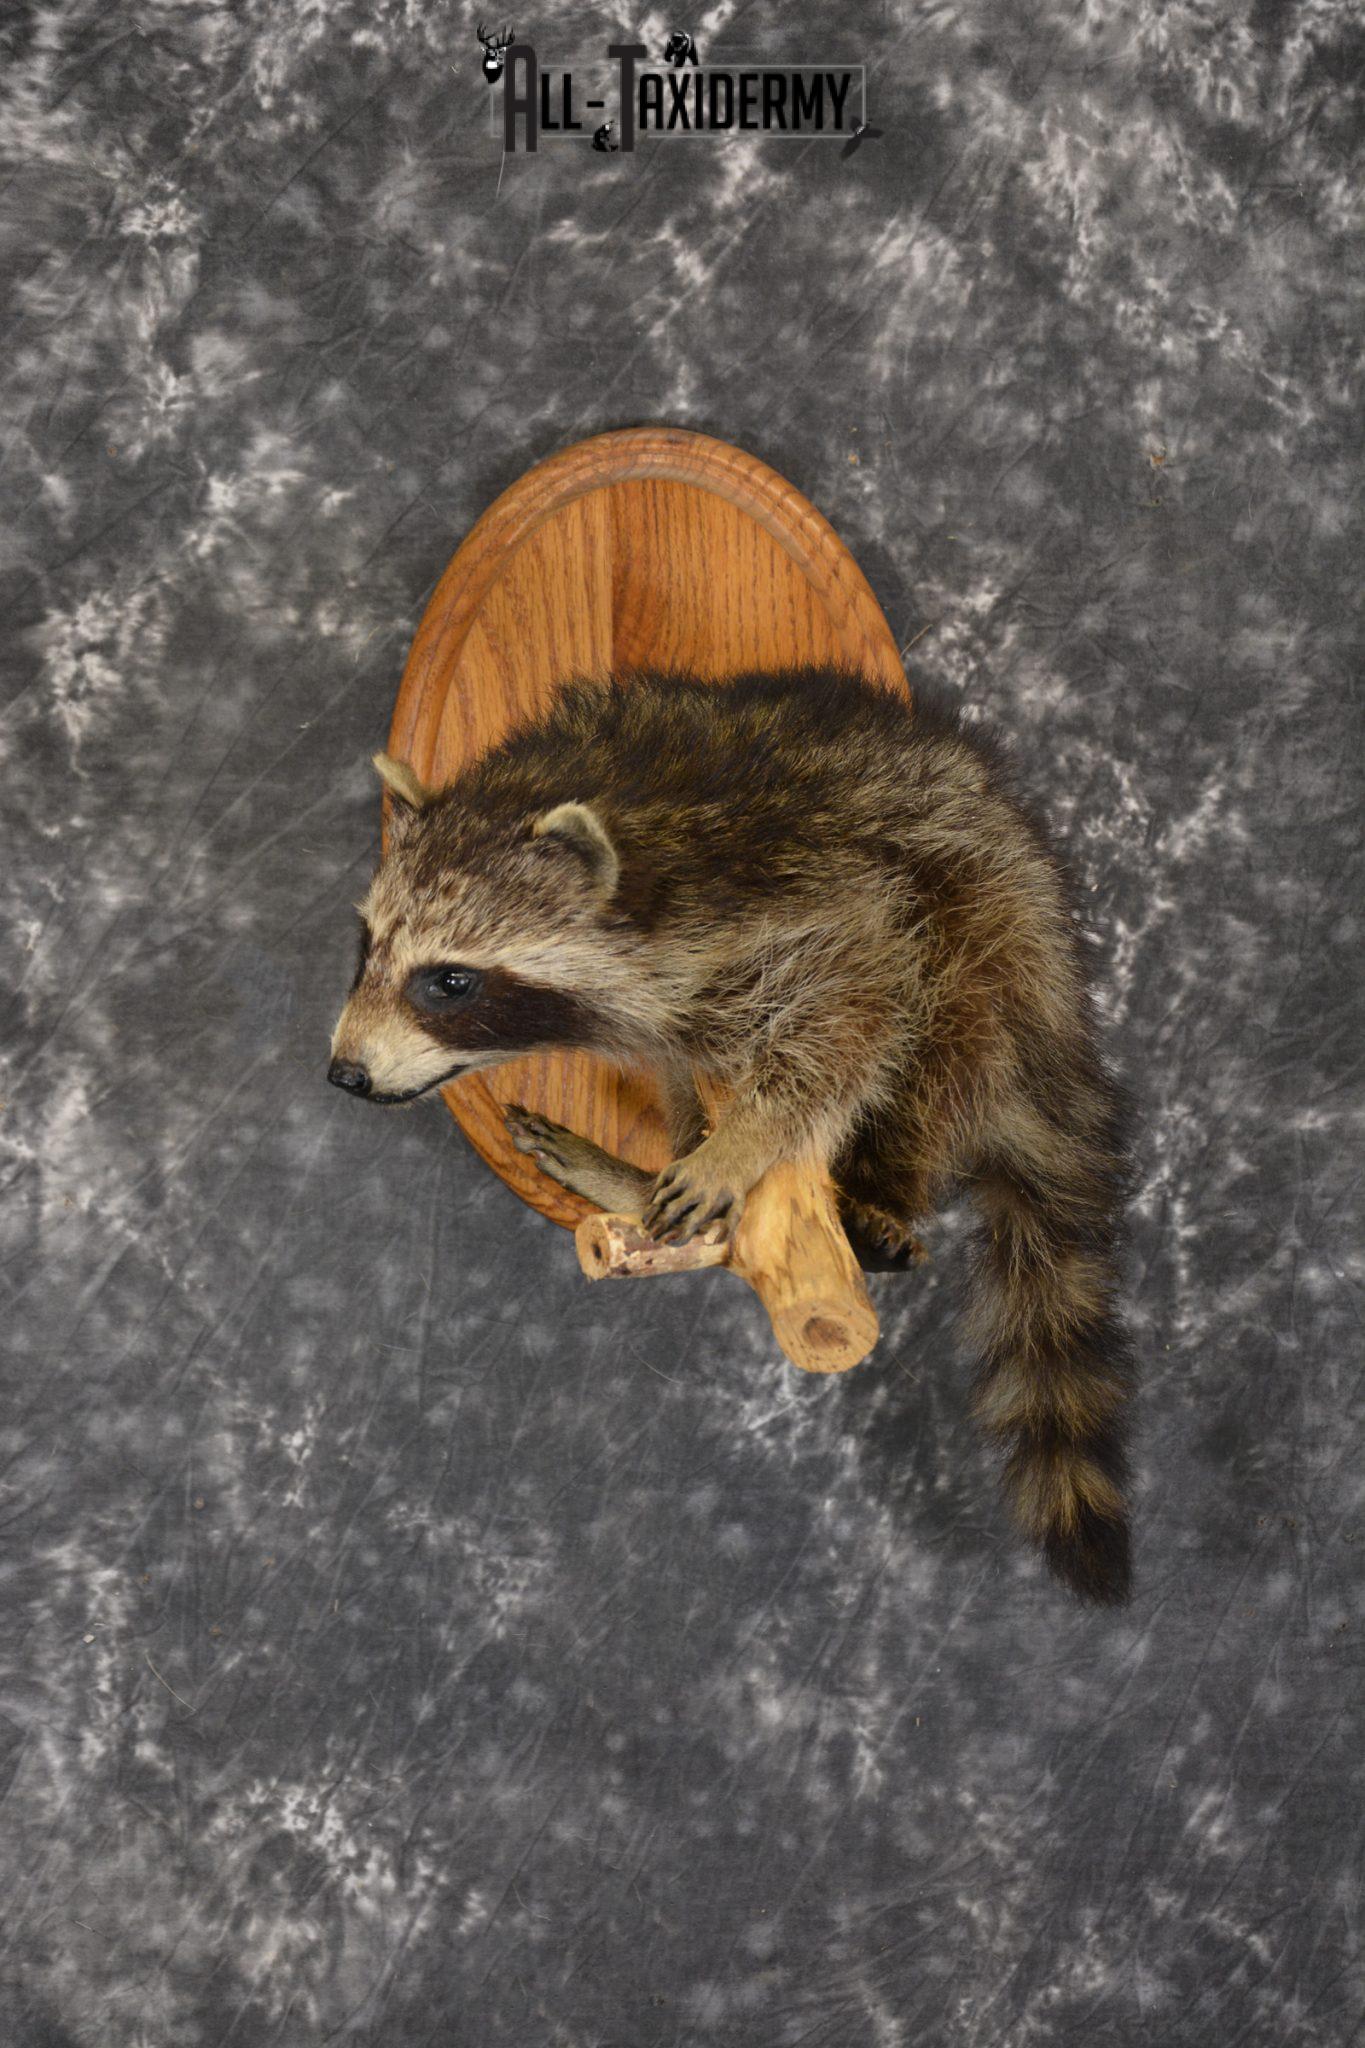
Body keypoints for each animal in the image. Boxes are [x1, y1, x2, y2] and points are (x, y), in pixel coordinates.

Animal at [329, 666, 1135, 1603]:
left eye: (449, 982)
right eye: (366, 946)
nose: (344, 1074)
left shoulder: (800, 881)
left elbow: (858, 997)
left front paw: (748, 1139)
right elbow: (677, 1058)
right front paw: (685, 1145)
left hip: (993, 931)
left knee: (942, 1039)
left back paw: (881, 1187)